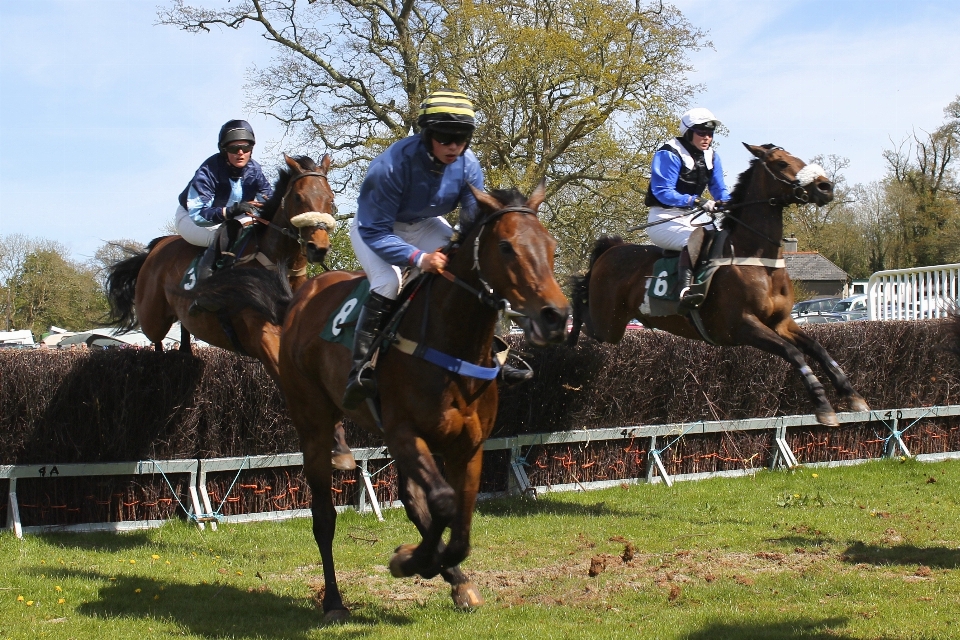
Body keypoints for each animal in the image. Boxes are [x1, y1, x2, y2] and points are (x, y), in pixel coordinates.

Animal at [274, 181, 568, 620]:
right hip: (313, 422)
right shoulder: (405, 433)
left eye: (550, 245)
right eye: (506, 247)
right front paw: (412, 560)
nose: (556, 316)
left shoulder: (468, 445)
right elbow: (444, 503)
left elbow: (458, 521)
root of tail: (304, 292)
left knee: (413, 499)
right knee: (324, 514)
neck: (453, 347)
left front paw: (449, 572)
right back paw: (334, 602)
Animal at [568, 144, 872, 424]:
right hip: (609, 323)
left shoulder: (782, 322)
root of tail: (611, 249)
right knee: (583, 308)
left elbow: (817, 348)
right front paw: (822, 404)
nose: (825, 187)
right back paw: (568, 338)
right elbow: (794, 353)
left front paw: (852, 395)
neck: (758, 260)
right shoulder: (742, 325)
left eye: (798, 158)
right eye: (782, 163)